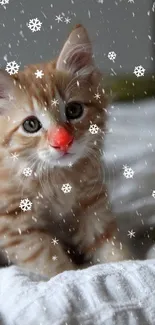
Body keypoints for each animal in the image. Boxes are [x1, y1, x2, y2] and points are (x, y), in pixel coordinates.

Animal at [0, 24, 130, 276]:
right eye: (31, 125)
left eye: (74, 110)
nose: (62, 142)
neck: (56, 177)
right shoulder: (14, 224)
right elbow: (50, 262)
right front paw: (67, 273)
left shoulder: (92, 202)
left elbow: (109, 247)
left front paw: (125, 267)